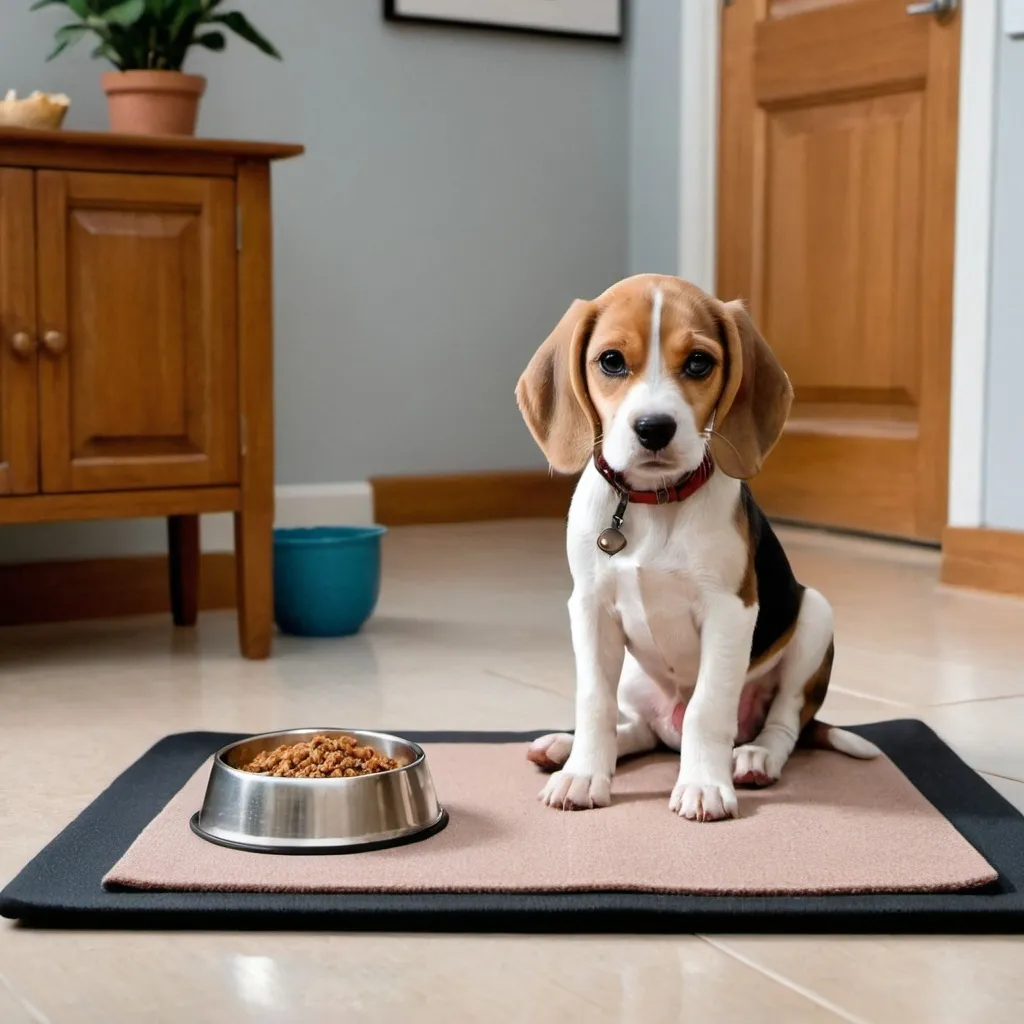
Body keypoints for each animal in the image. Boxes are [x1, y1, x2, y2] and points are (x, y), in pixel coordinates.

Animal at [516, 276, 876, 819]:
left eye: (699, 363)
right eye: (611, 361)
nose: (654, 428)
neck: (653, 501)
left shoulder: (730, 610)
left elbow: (708, 708)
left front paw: (704, 785)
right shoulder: (590, 607)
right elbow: (594, 701)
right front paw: (583, 774)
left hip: (815, 616)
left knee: (782, 722)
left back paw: (753, 759)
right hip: (635, 677)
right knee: (642, 728)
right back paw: (563, 746)